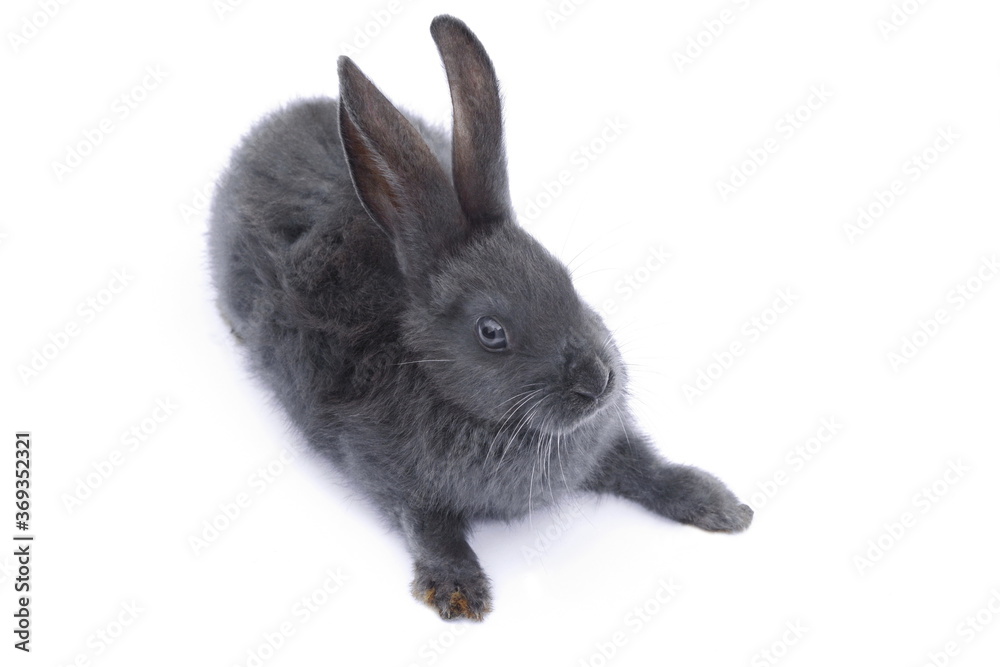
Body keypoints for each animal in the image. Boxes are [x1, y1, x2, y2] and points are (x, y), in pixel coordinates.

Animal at [208, 14, 752, 621]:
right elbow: (429, 527)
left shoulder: (609, 442)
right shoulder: (391, 476)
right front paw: (459, 590)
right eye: (492, 332)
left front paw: (720, 506)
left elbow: (647, 466)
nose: (597, 382)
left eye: (566, 279)